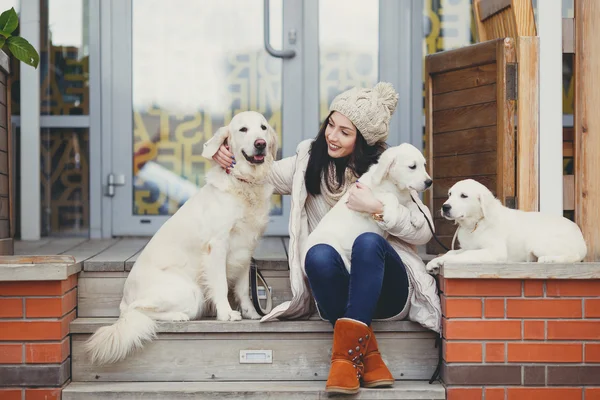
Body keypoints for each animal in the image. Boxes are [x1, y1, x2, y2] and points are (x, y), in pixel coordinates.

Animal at [84, 110, 278, 366]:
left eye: (263, 128)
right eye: (243, 129)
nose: (261, 144)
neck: (244, 184)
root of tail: (124, 300)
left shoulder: (245, 251)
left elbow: (244, 289)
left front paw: (251, 312)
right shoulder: (217, 246)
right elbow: (220, 284)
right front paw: (226, 313)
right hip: (190, 292)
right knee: (139, 309)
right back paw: (177, 316)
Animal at [304, 142, 432, 274]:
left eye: (424, 165)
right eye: (412, 167)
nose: (429, 182)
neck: (395, 185)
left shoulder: (406, 199)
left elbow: (413, 204)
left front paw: (418, 218)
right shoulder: (370, 196)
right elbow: (391, 197)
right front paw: (391, 217)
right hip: (328, 242)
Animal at [426, 179, 584, 276]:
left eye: (463, 196)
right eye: (450, 194)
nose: (445, 207)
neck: (476, 223)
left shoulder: (495, 251)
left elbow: (464, 255)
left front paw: (443, 261)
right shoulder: (468, 246)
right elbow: (452, 252)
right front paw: (434, 262)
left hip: (539, 243)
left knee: (574, 256)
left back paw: (548, 259)